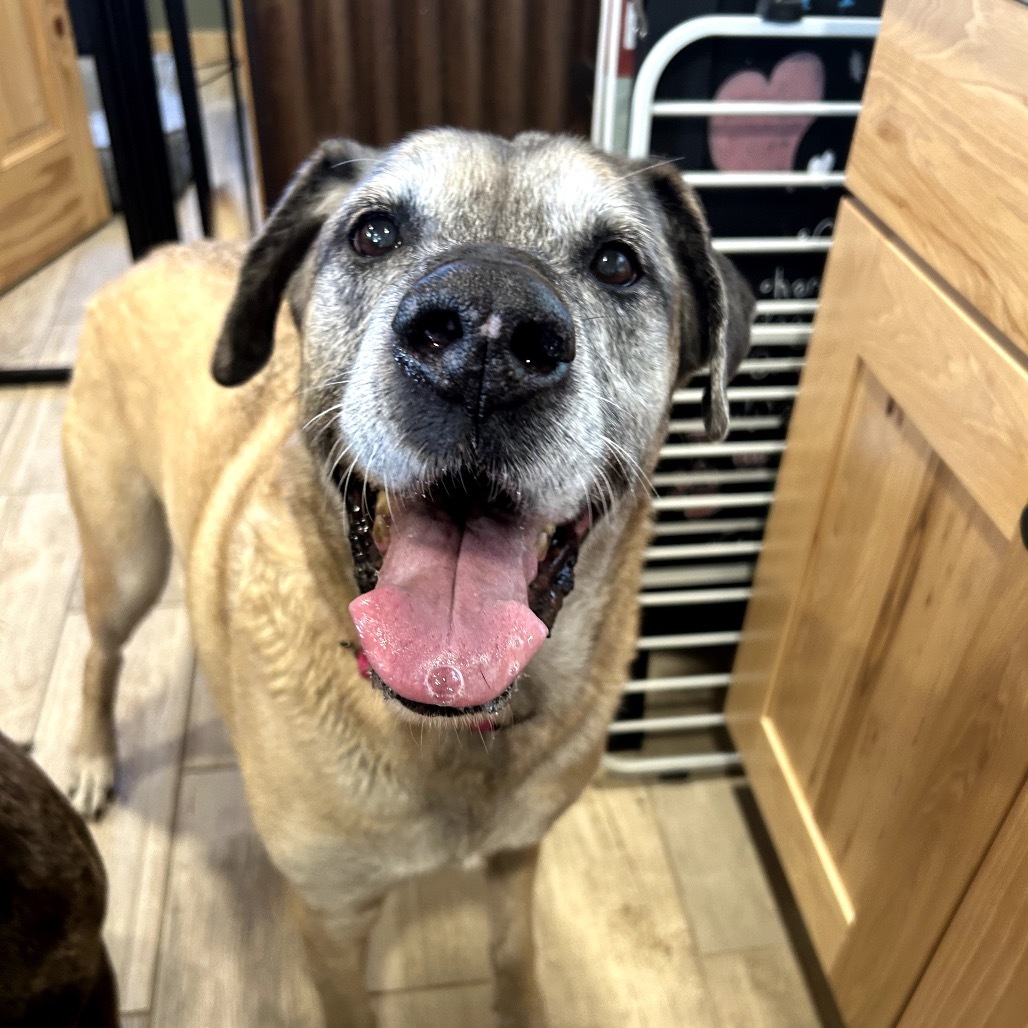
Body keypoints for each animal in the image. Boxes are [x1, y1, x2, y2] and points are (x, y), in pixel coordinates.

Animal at [64, 132, 756, 1023]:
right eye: (373, 233)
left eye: (616, 262)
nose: (486, 336)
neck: (449, 726)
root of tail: (155, 253)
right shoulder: (331, 915)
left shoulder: (519, 856)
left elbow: (513, 953)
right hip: (126, 558)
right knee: (100, 653)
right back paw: (90, 757)